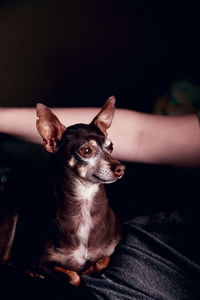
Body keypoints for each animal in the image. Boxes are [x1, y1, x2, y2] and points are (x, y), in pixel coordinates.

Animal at [0, 96, 124, 286]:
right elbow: (73, 276)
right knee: (6, 261)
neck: (85, 201)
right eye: (86, 151)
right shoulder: (42, 262)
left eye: (111, 147)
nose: (120, 168)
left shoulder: (112, 250)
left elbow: (103, 261)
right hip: (10, 218)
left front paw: (90, 267)